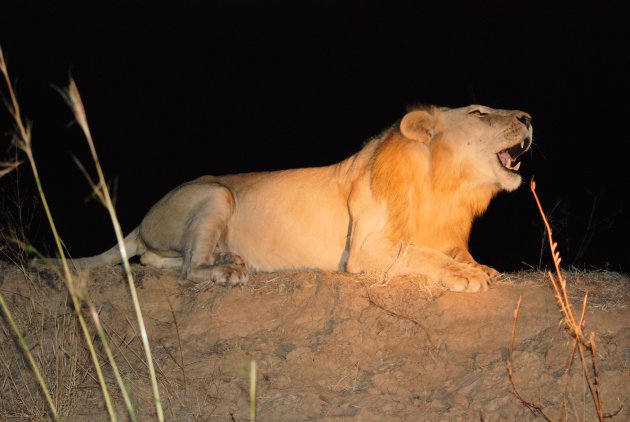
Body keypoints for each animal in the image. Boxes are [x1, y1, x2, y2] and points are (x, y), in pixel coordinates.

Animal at [58, 103, 532, 292]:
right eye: (479, 112)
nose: (528, 117)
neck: (447, 188)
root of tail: (140, 220)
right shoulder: (365, 249)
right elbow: (421, 254)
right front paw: (466, 276)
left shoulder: (447, 233)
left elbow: (451, 251)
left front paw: (479, 267)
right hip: (216, 193)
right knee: (187, 268)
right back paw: (227, 271)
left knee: (154, 260)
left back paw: (229, 259)